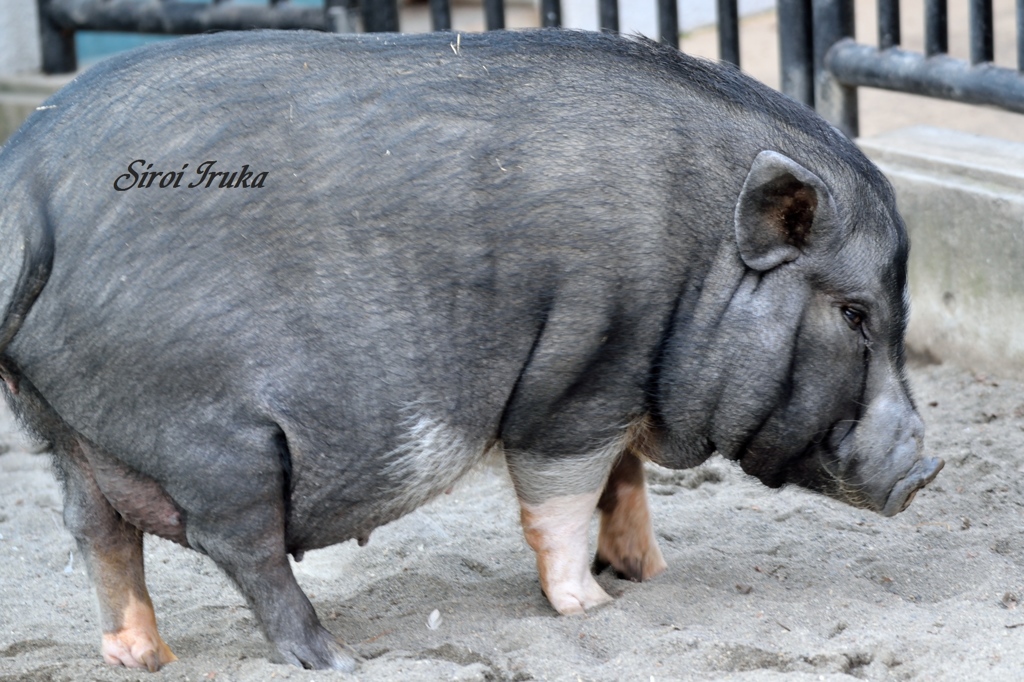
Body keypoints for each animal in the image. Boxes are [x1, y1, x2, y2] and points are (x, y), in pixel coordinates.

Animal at [0, 27, 942, 667]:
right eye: (855, 313)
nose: (929, 470)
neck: (698, 262)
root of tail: (24, 187)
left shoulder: (619, 380)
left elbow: (624, 483)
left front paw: (650, 574)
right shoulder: (576, 386)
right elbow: (564, 499)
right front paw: (593, 609)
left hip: (62, 424)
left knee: (94, 529)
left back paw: (141, 658)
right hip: (220, 440)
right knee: (242, 547)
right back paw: (336, 660)